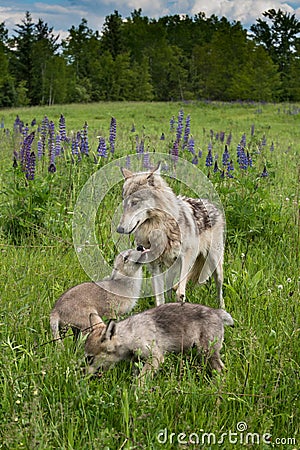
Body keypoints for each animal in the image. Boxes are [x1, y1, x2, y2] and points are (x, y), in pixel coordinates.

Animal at [84, 302, 234, 376]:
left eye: (90, 358)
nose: (82, 374)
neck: (130, 335)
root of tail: (217, 312)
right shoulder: (137, 362)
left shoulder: (155, 357)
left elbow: (141, 380)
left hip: (207, 352)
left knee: (221, 370)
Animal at [117, 163, 225, 308]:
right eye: (124, 203)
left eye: (135, 203)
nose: (119, 229)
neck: (158, 228)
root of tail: (211, 204)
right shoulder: (155, 266)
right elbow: (159, 296)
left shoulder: (186, 258)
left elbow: (180, 292)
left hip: (214, 263)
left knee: (219, 288)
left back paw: (222, 308)